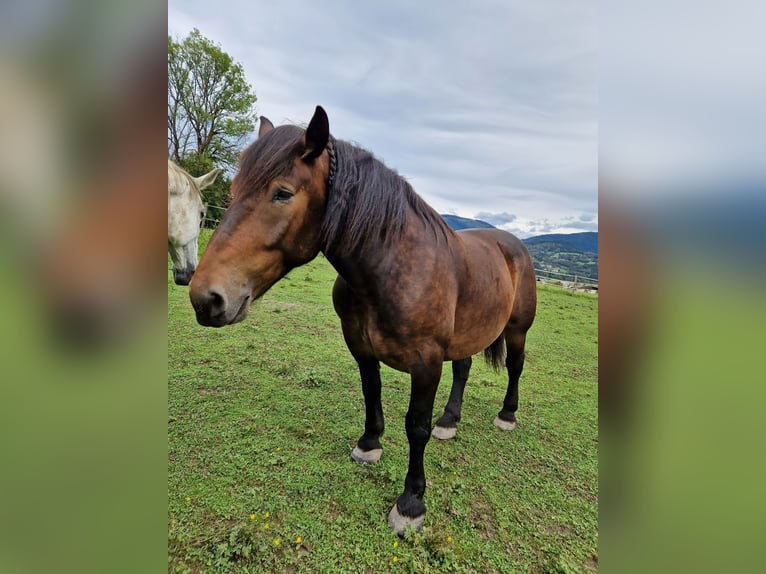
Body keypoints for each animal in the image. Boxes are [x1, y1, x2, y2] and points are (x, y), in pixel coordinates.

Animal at [189, 107, 536, 536]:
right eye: (233, 190)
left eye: (282, 193)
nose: (205, 298)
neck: (393, 268)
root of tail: (513, 244)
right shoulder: (359, 343)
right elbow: (372, 392)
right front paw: (369, 445)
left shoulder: (426, 361)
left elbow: (416, 425)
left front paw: (411, 502)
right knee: (464, 369)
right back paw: (450, 420)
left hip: (517, 330)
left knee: (515, 367)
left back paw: (506, 415)